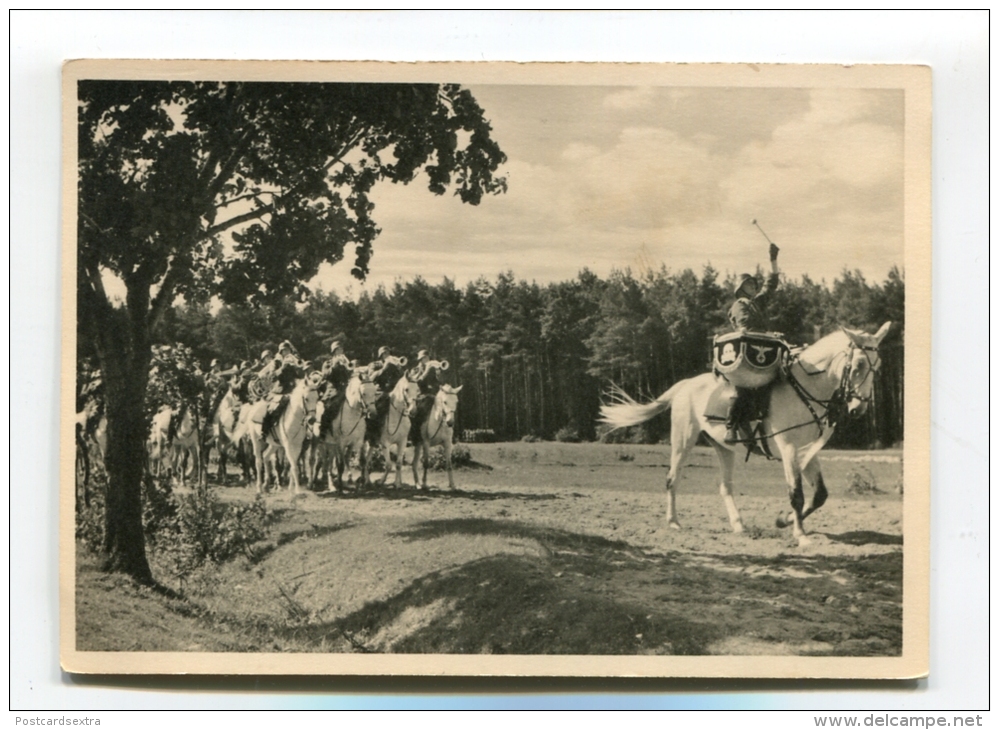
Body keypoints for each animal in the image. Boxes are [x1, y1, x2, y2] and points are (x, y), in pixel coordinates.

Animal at [596, 322, 896, 544]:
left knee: (725, 486)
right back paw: (673, 522)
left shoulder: (808, 452)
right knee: (672, 479)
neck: (806, 389)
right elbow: (797, 493)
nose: (858, 408)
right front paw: (800, 535)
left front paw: (783, 520)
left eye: (878, 366)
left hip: (724, 448)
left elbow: (819, 495)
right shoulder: (789, 449)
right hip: (683, 440)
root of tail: (686, 384)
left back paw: (738, 524)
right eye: (857, 365)